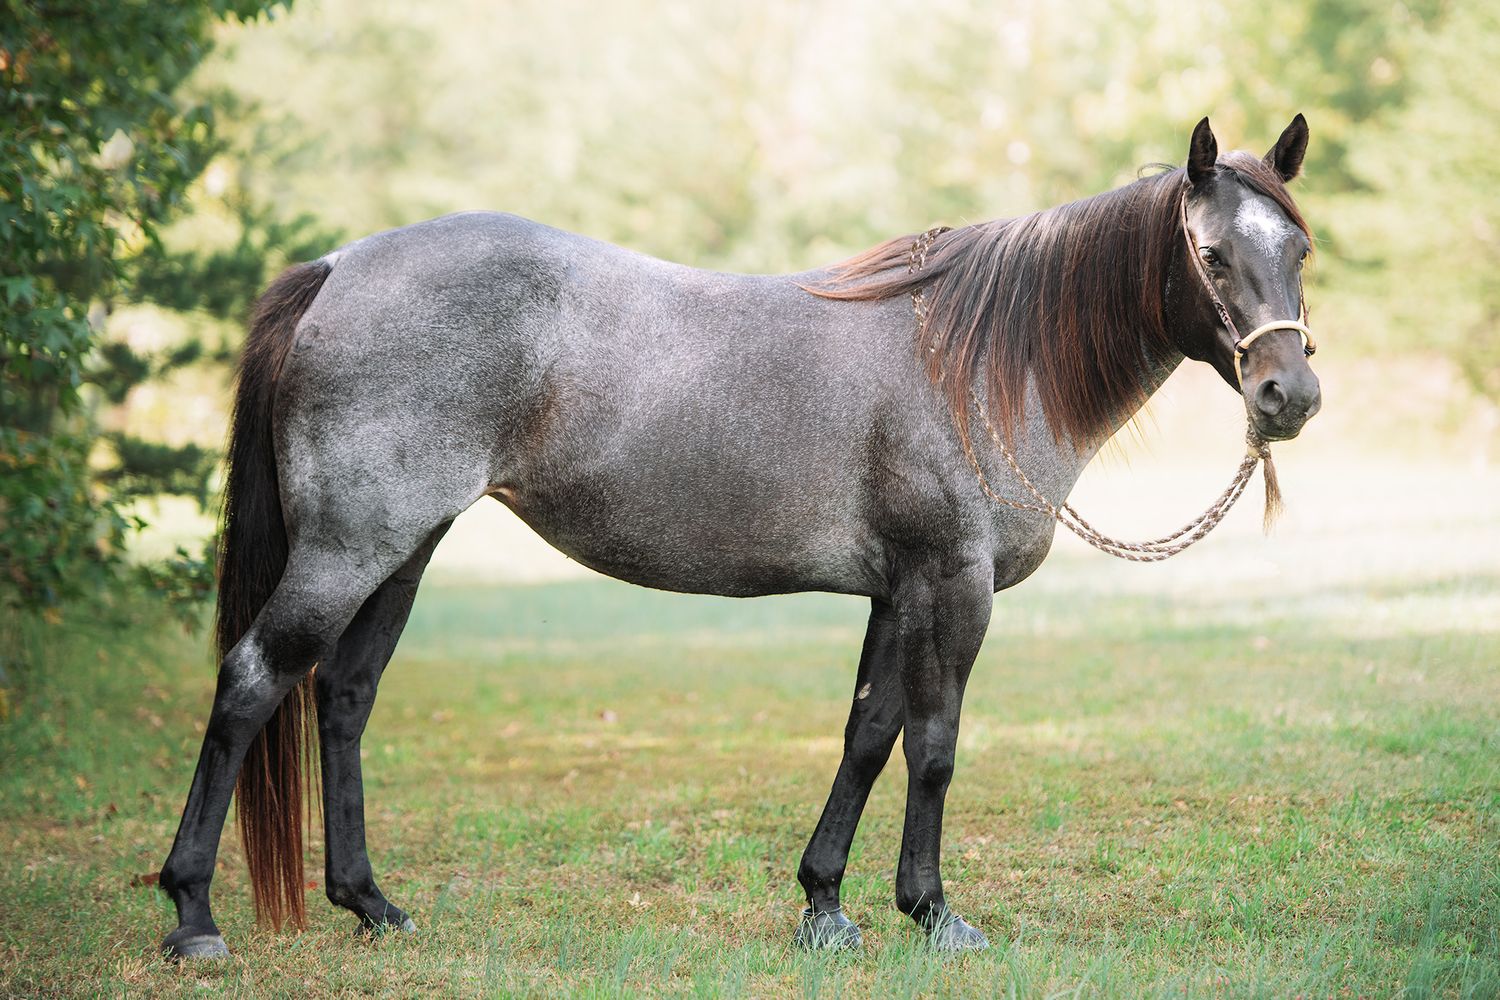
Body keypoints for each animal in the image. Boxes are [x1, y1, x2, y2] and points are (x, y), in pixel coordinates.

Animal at [158, 115, 1322, 958]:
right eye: (1211, 255)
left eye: (1301, 249)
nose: (1290, 395)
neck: (977, 360)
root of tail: (337, 265)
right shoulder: (952, 585)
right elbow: (936, 746)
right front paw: (934, 913)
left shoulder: (897, 589)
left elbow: (867, 734)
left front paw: (826, 907)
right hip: (347, 550)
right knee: (254, 682)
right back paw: (193, 915)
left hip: (403, 548)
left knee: (345, 698)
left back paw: (372, 905)